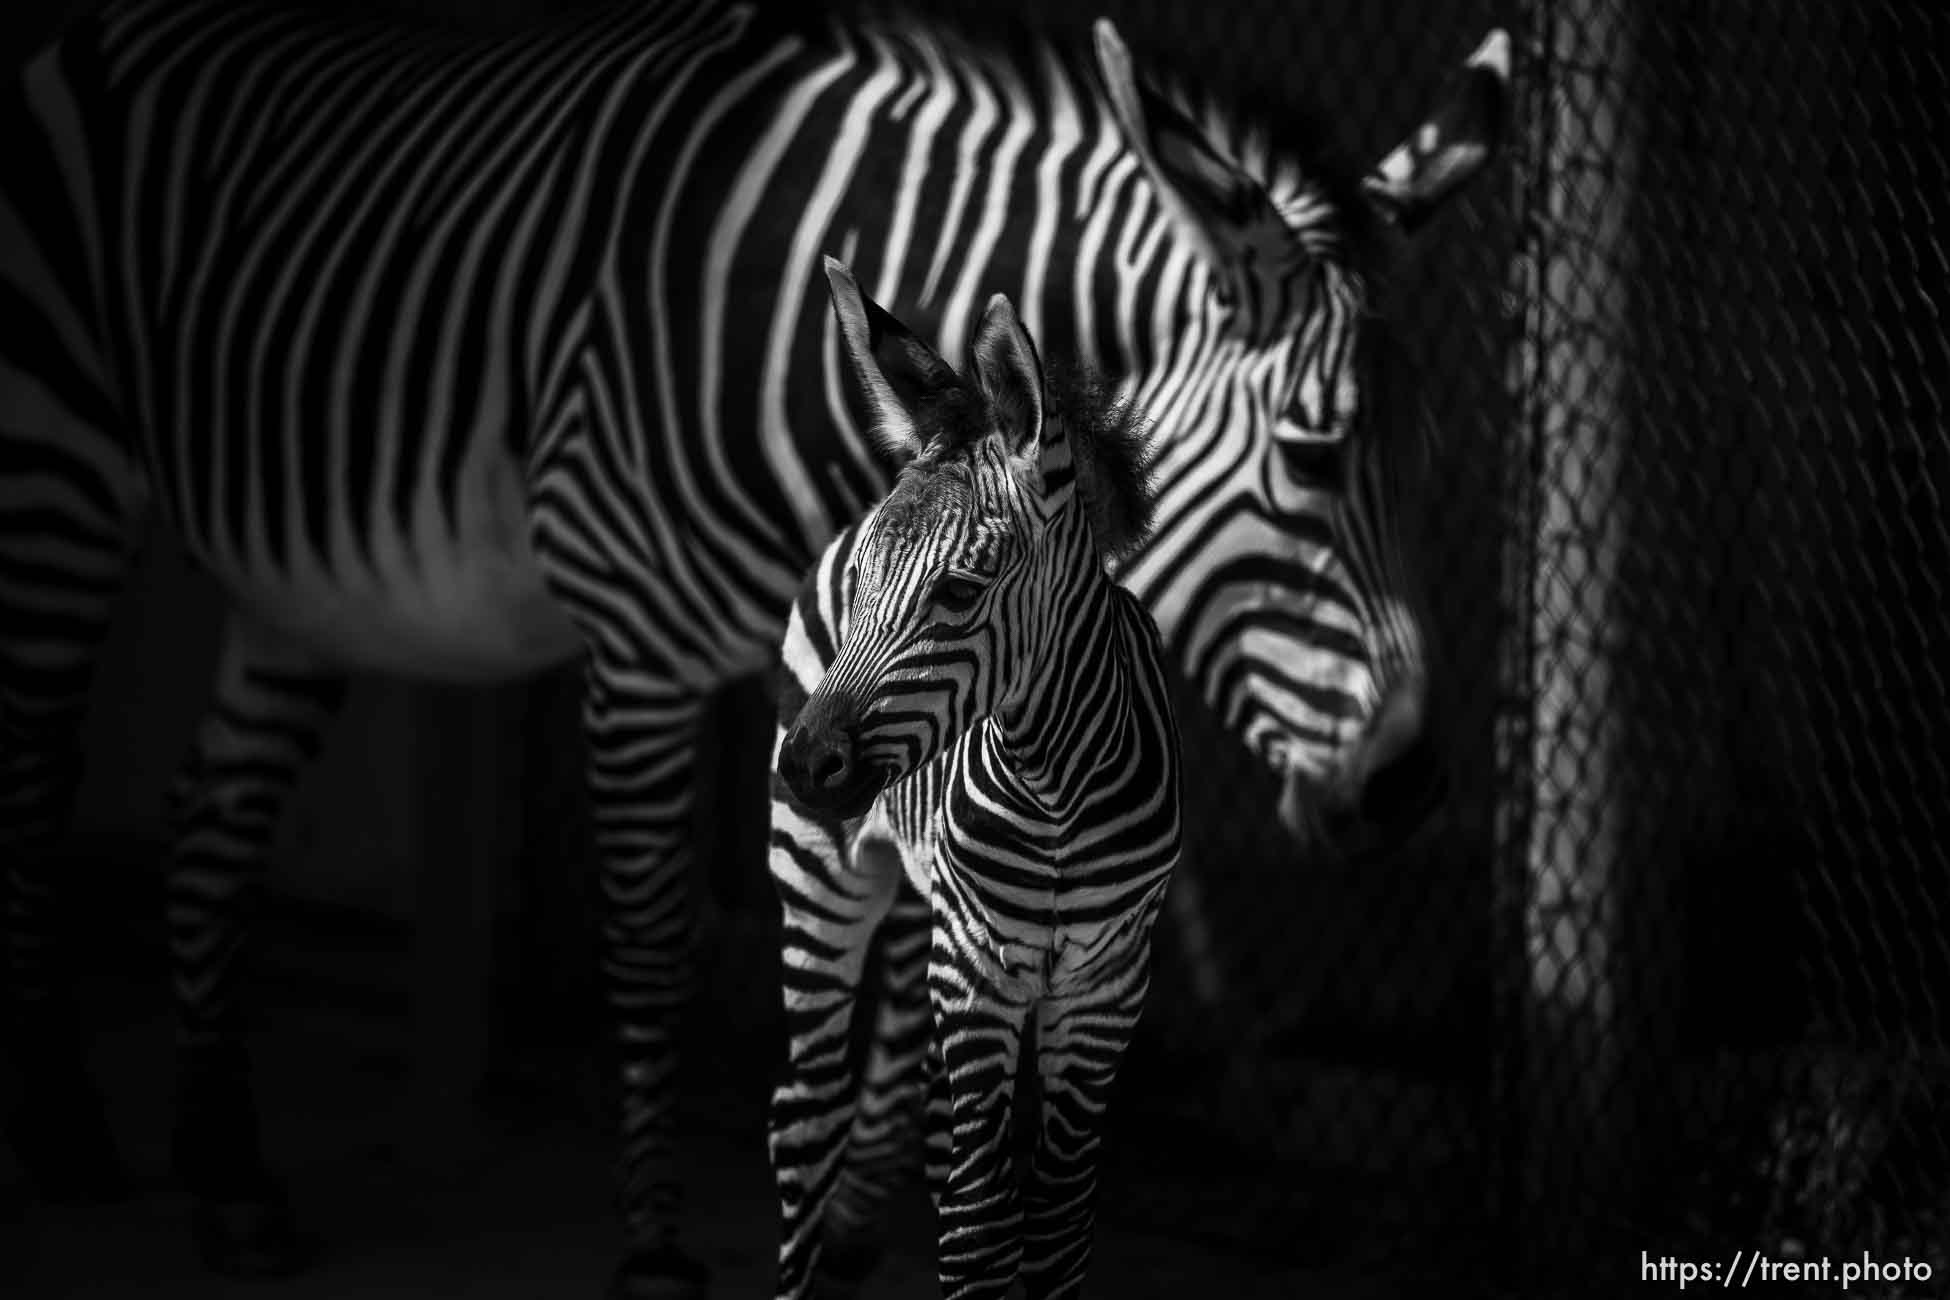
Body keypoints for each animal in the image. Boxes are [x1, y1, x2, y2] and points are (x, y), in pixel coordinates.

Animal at [772, 258, 1182, 1299]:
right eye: (868, 587)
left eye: (959, 592)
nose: (802, 767)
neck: (1058, 788)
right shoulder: (976, 970)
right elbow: (982, 1234)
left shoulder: (1107, 986)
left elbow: (1055, 1222)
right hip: (818, 882)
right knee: (803, 1121)